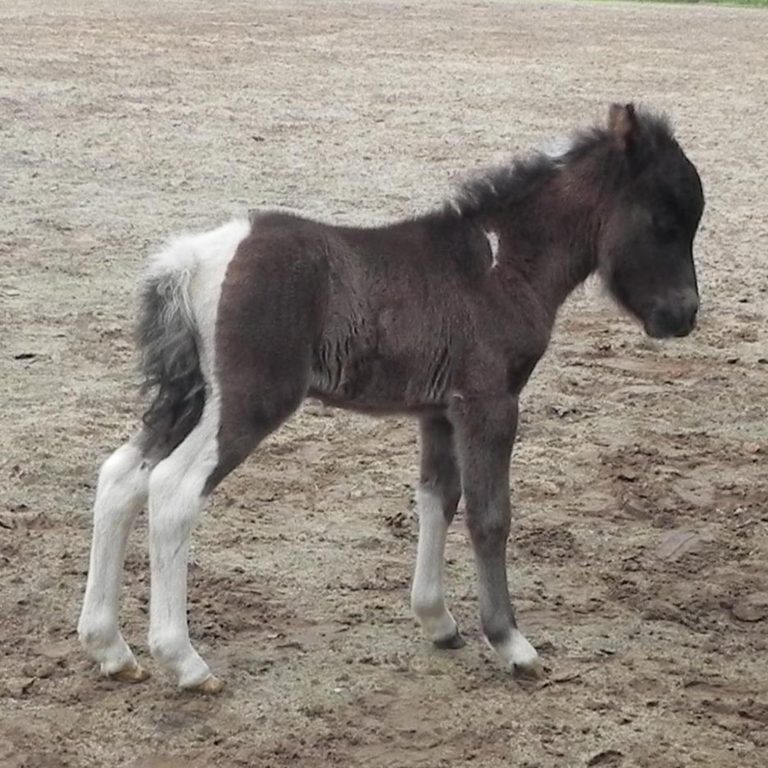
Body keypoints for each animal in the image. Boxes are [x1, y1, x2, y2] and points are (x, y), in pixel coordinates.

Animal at [78, 103, 704, 693]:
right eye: (665, 221)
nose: (684, 316)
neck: (501, 266)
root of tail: (193, 260)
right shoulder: (490, 403)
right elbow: (489, 515)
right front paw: (511, 643)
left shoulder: (439, 411)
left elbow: (437, 499)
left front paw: (438, 621)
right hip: (249, 401)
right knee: (172, 491)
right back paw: (184, 661)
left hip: (191, 400)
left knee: (121, 479)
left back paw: (110, 648)